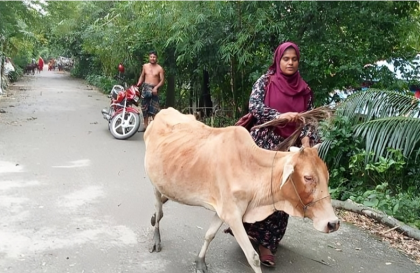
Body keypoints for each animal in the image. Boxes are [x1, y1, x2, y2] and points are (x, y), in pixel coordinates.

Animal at [143, 107, 340, 272]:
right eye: (308, 177)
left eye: (327, 176)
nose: (333, 223)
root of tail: (161, 113)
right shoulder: (232, 215)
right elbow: (253, 257)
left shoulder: (223, 211)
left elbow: (209, 235)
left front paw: (200, 262)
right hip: (154, 183)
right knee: (159, 210)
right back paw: (156, 238)